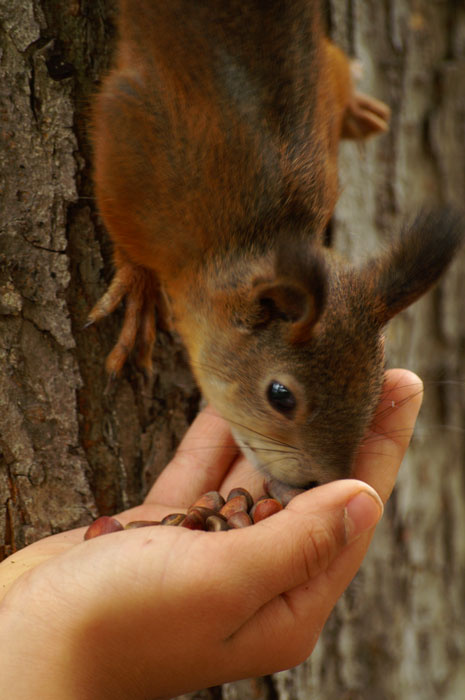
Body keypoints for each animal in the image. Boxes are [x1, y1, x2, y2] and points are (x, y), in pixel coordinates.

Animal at [88, 0, 463, 488]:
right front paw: (139, 288)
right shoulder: (134, 139)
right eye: (280, 395)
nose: (321, 481)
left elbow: (334, 68)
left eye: (376, 387)